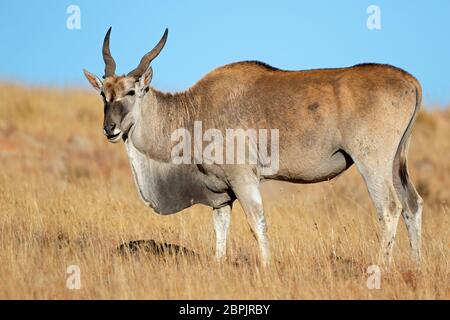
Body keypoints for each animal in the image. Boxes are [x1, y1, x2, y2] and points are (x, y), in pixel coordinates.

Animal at [83, 28, 422, 266]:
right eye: (103, 94)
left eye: (131, 92)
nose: (110, 128)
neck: (193, 110)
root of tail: (410, 81)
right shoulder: (221, 195)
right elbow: (220, 232)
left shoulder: (243, 180)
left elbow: (257, 223)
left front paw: (266, 267)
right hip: (395, 164)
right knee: (412, 205)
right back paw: (416, 267)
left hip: (372, 163)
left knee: (390, 208)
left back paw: (381, 268)